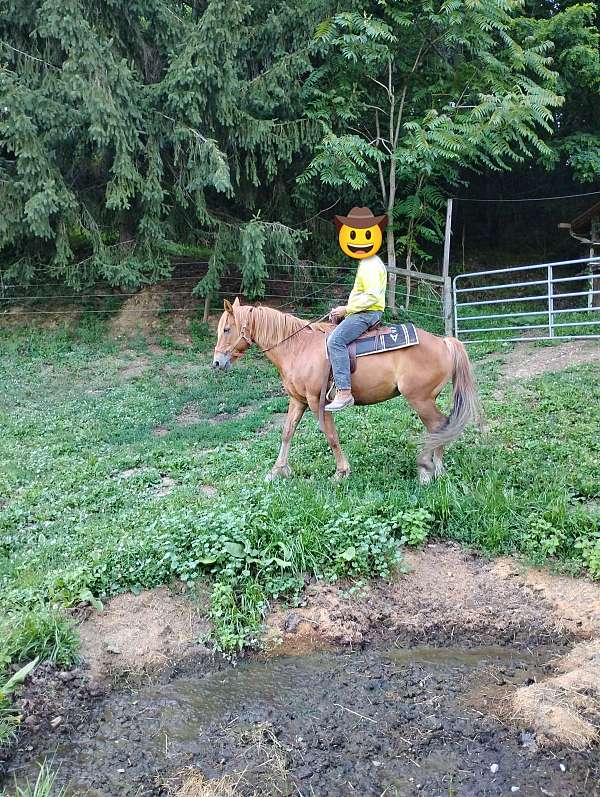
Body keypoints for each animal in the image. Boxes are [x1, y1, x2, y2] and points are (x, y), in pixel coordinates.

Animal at [212, 298, 479, 483]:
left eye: (226, 329)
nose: (216, 363)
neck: (298, 348)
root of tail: (444, 342)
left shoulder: (317, 401)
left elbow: (331, 436)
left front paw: (341, 472)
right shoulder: (297, 400)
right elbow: (287, 432)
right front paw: (277, 470)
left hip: (420, 399)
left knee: (438, 425)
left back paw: (429, 469)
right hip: (424, 399)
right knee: (439, 426)